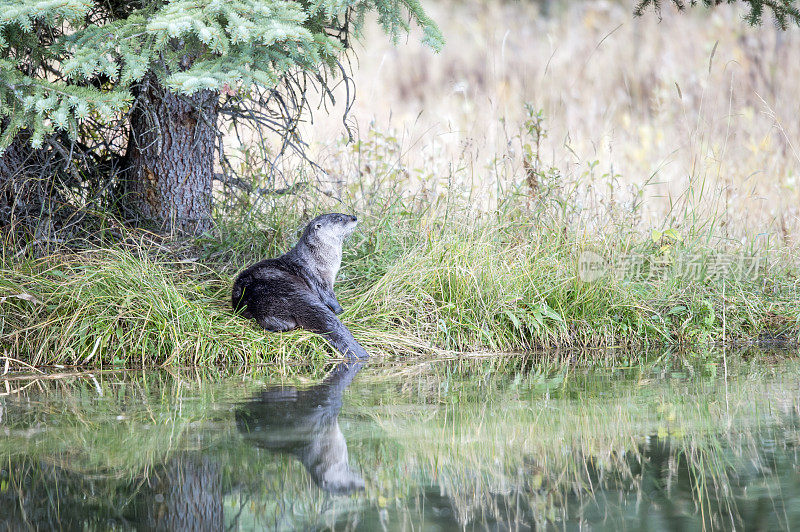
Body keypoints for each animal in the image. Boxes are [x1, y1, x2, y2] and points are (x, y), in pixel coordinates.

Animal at [231, 214, 368, 360]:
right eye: (340, 218)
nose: (354, 217)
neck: (317, 260)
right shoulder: (322, 282)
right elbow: (330, 298)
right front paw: (341, 310)